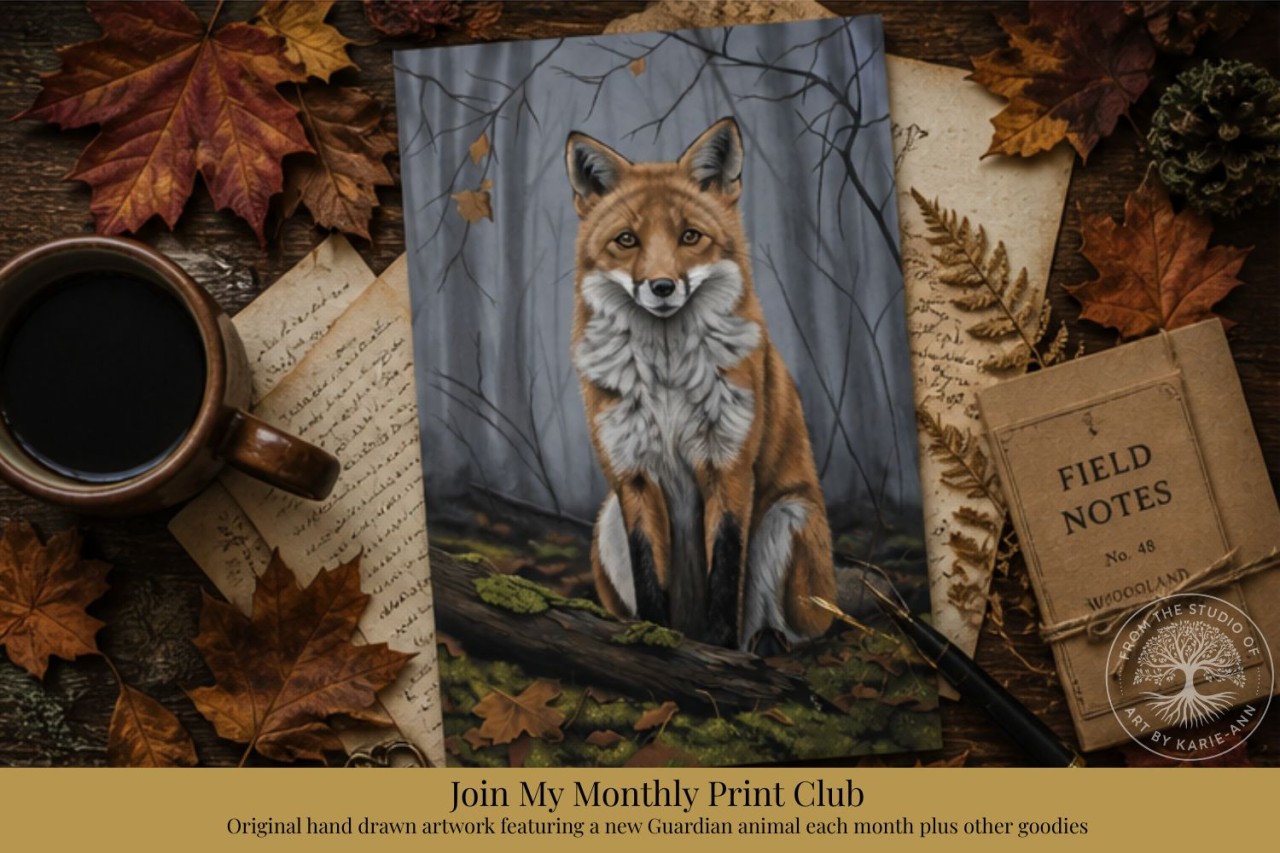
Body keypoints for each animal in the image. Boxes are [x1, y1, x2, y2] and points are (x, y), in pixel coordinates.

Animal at [566, 116, 836, 652]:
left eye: (690, 236)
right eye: (627, 240)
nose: (662, 286)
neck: (667, 377)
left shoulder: (727, 465)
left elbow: (726, 575)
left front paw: (719, 647)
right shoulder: (633, 475)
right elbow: (649, 574)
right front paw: (652, 635)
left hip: (787, 518)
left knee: (800, 629)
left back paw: (766, 643)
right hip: (607, 521)